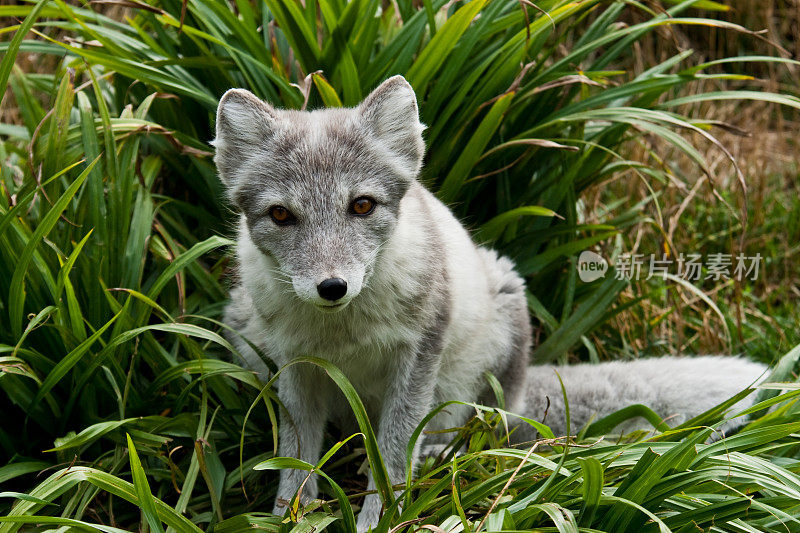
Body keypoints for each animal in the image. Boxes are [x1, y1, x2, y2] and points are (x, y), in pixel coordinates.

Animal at [214, 77, 768, 528]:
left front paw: (381, 520)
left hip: (495, 339)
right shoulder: (294, 366)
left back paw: (442, 457)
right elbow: (295, 461)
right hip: (242, 328)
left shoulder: (418, 355)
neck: (343, 332)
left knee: (483, 436)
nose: (332, 287)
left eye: (362, 205)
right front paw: (288, 518)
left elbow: (391, 456)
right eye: (281, 215)